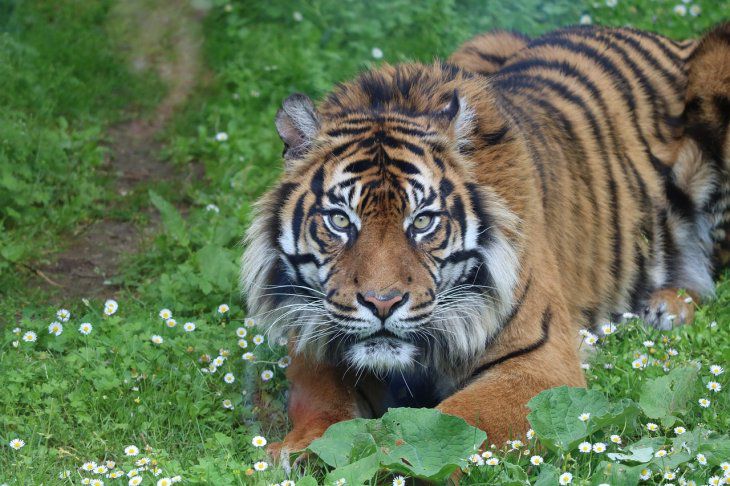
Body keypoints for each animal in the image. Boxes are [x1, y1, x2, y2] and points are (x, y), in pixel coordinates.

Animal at [241, 23, 730, 455]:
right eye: (341, 221)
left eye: (422, 222)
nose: (382, 304)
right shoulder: (314, 340)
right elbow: (324, 405)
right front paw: (301, 450)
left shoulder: (539, 363)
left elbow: (449, 426)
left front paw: (388, 457)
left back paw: (668, 306)